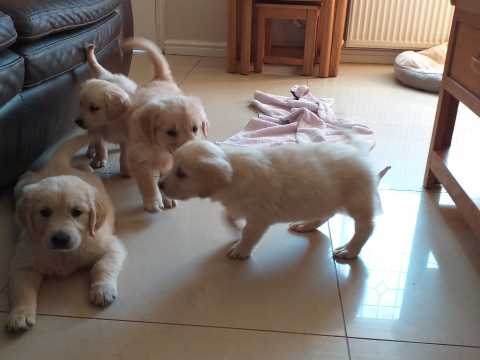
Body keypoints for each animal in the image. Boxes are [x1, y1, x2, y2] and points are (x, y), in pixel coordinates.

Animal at [6, 134, 126, 332]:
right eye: (44, 212)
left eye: (77, 212)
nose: (60, 239)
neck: (63, 254)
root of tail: (57, 163)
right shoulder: (23, 263)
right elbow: (22, 290)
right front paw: (20, 314)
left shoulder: (111, 246)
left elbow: (103, 265)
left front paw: (102, 290)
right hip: (21, 185)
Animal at [76, 45, 138, 176]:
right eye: (80, 104)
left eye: (94, 108)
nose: (77, 122)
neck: (109, 122)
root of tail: (107, 75)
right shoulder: (97, 130)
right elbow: (100, 145)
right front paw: (99, 159)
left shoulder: (127, 136)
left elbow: (124, 154)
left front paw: (126, 169)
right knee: (91, 139)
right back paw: (91, 150)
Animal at [122, 37, 208, 211]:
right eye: (171, 132)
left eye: (195, 129)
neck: (159, 148)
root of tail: (160, 78)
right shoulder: (138, 159)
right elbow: (147, 181)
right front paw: (153, 201)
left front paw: (168, 197)